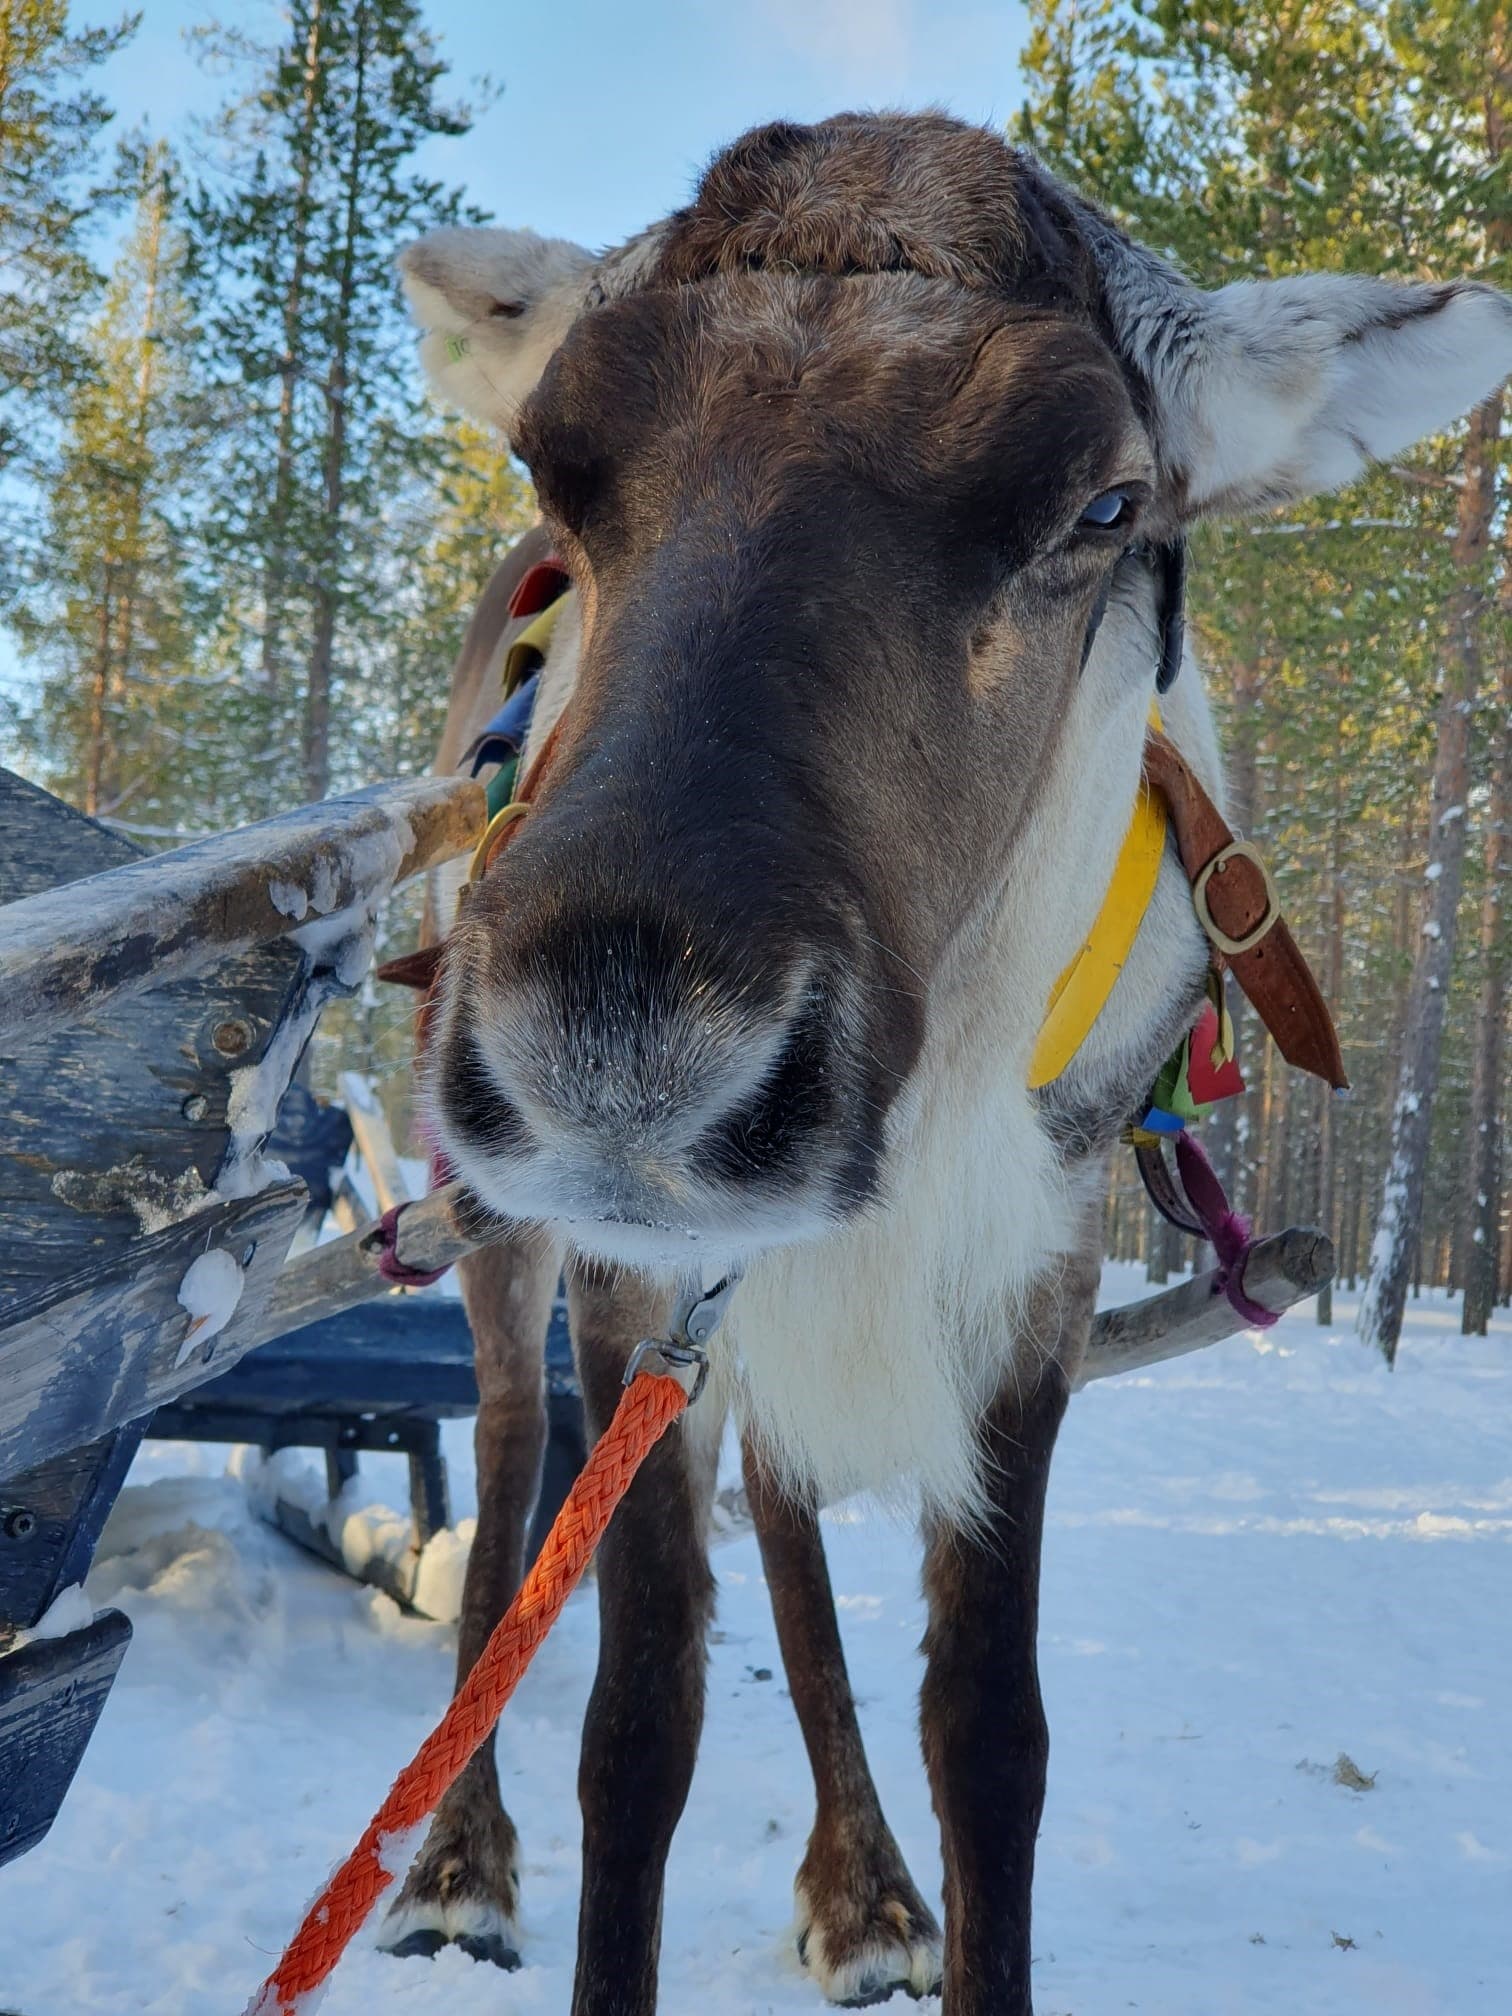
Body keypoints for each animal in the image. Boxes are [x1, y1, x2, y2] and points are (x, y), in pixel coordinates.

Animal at [379, 112, 1512, 2016]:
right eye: (554, 461)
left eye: (1107, 502)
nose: (616, 1048)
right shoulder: (629, 1272)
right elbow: (635, 1725)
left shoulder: (1034, 1276)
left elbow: (989, 1736)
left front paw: (927, 1883)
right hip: (489, 1207)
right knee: (516, 1447)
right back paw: (459, 1860)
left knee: (780, 1506)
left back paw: (867, 1893)